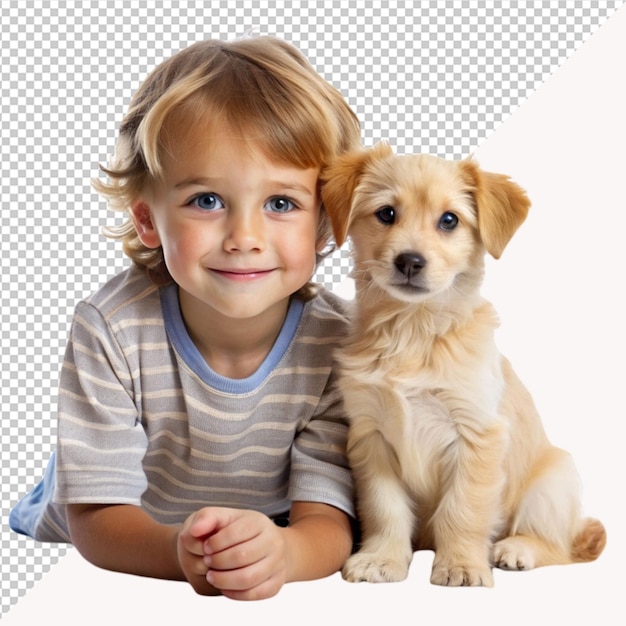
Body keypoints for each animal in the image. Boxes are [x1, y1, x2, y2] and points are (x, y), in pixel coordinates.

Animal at [320, 141, 604, 584]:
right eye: (386, 213)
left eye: (449, 220)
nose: (410, 261)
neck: (413, 331)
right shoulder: (371, 435)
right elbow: (385, 508)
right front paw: (381, 559)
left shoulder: (476, 434)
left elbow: (463, 508)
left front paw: (461, 565)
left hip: (554, 482)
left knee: (557, 547)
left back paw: (515, 549)